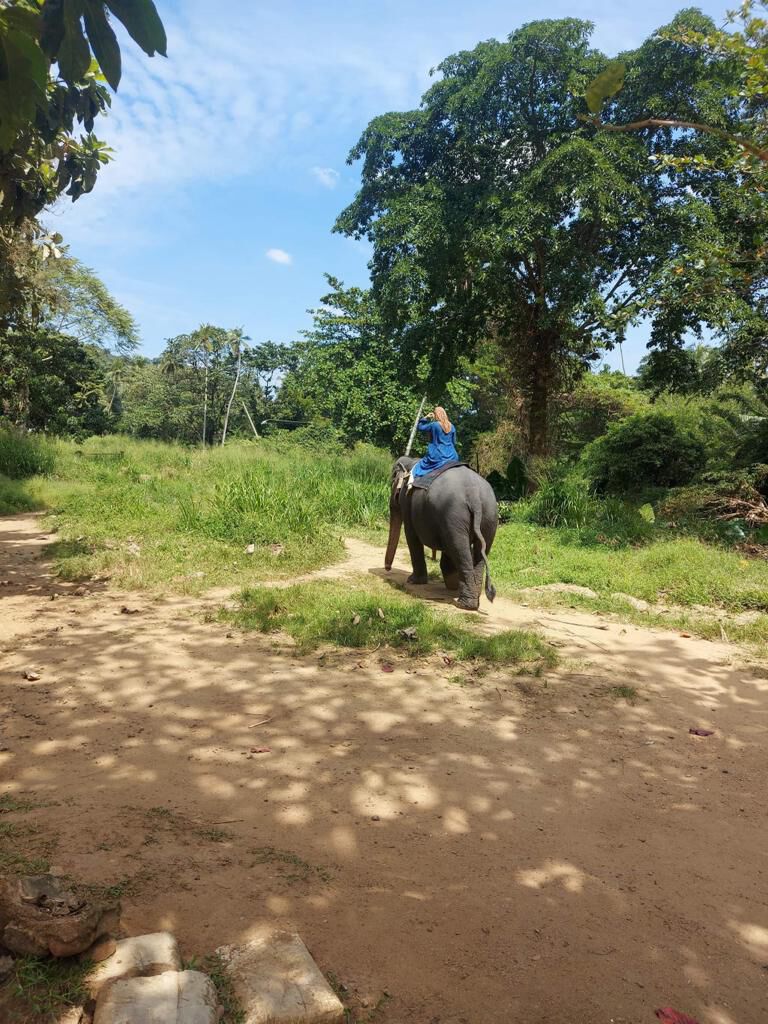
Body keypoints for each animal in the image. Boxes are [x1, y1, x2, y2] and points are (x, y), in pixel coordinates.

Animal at [384, 457, 498, 610]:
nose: (387, 569)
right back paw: (471, 598)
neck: (412, 461)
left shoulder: (407, 501)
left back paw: (465, 604)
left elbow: (411, 535)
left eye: (392, 481)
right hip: (489, 516)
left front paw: (413, 581)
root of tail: (474, 495)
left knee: (458, 548)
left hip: (454, 514)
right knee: (477, 551)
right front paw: (452, 583)